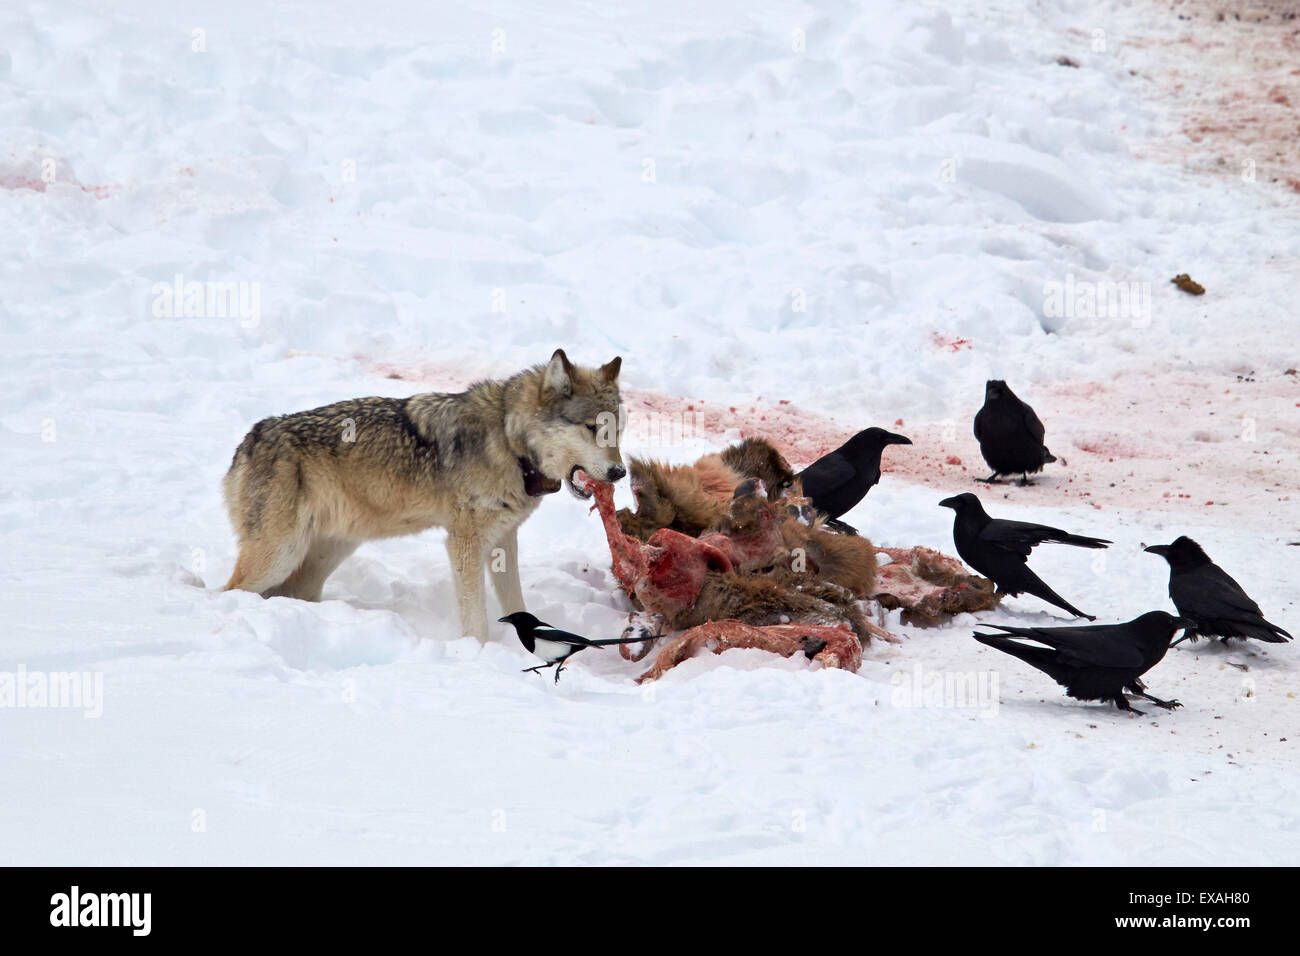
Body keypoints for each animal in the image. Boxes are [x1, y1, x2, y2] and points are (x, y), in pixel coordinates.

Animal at [222, 348, 624, 639]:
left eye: (617, 431)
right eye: (592, 428)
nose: (619, 472)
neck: (509, 443)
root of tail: (251, 437)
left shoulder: (503, 540)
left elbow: (517, 603)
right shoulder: (464, 542)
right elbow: (476, 621)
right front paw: (478, 653)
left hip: (322, 557)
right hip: (280, 555)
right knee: (228, 592)